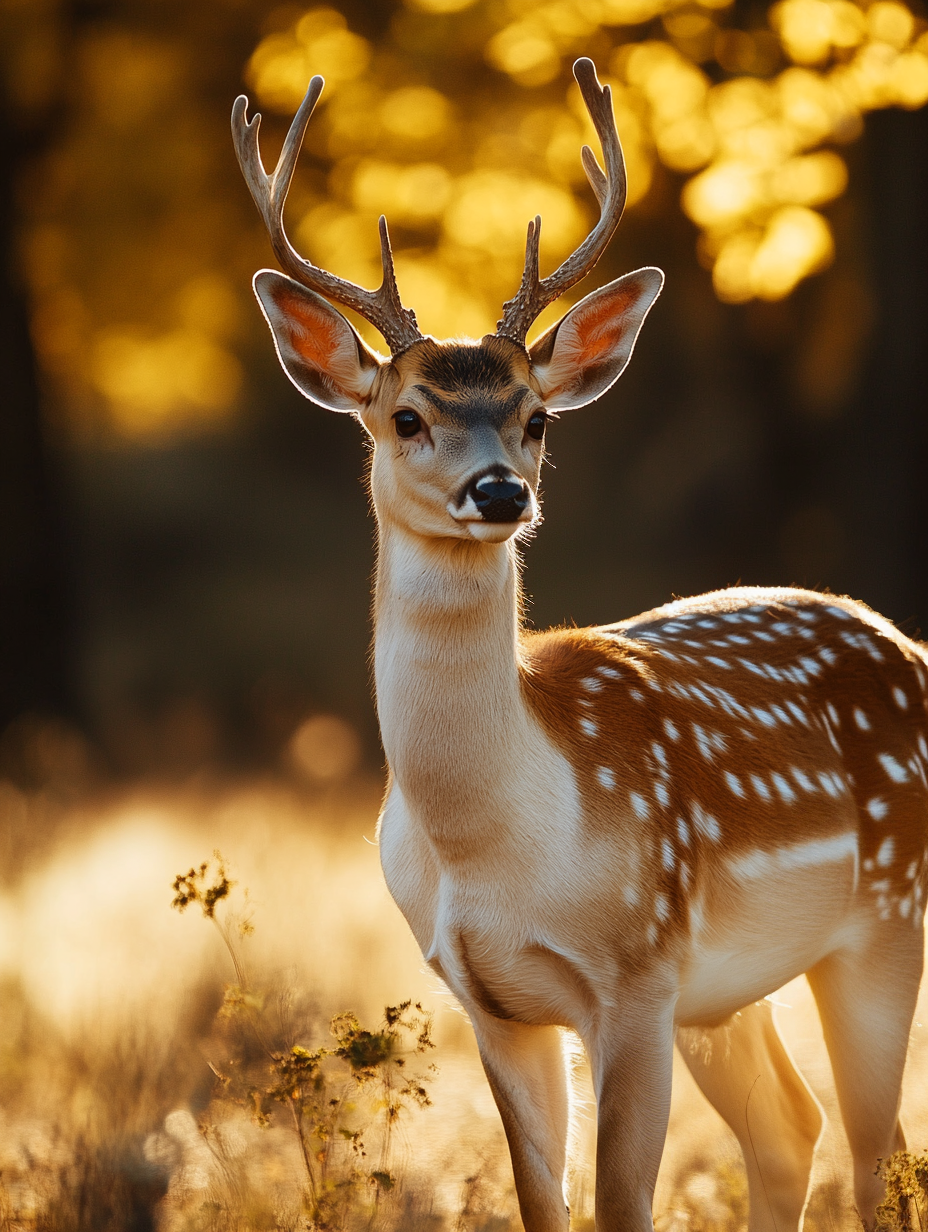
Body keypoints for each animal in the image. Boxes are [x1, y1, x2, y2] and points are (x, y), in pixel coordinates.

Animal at [232, 59, 928, 1232]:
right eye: (406, 417)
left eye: (537, 417)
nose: (499, 490)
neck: (497, 840)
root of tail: (908, 646)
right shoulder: (491, 999)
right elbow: (542, 1203)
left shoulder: (637, 970)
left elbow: (621, 1203)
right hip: (731, 989)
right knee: (793, 1128)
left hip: (884, 916)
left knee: (879, 1160)